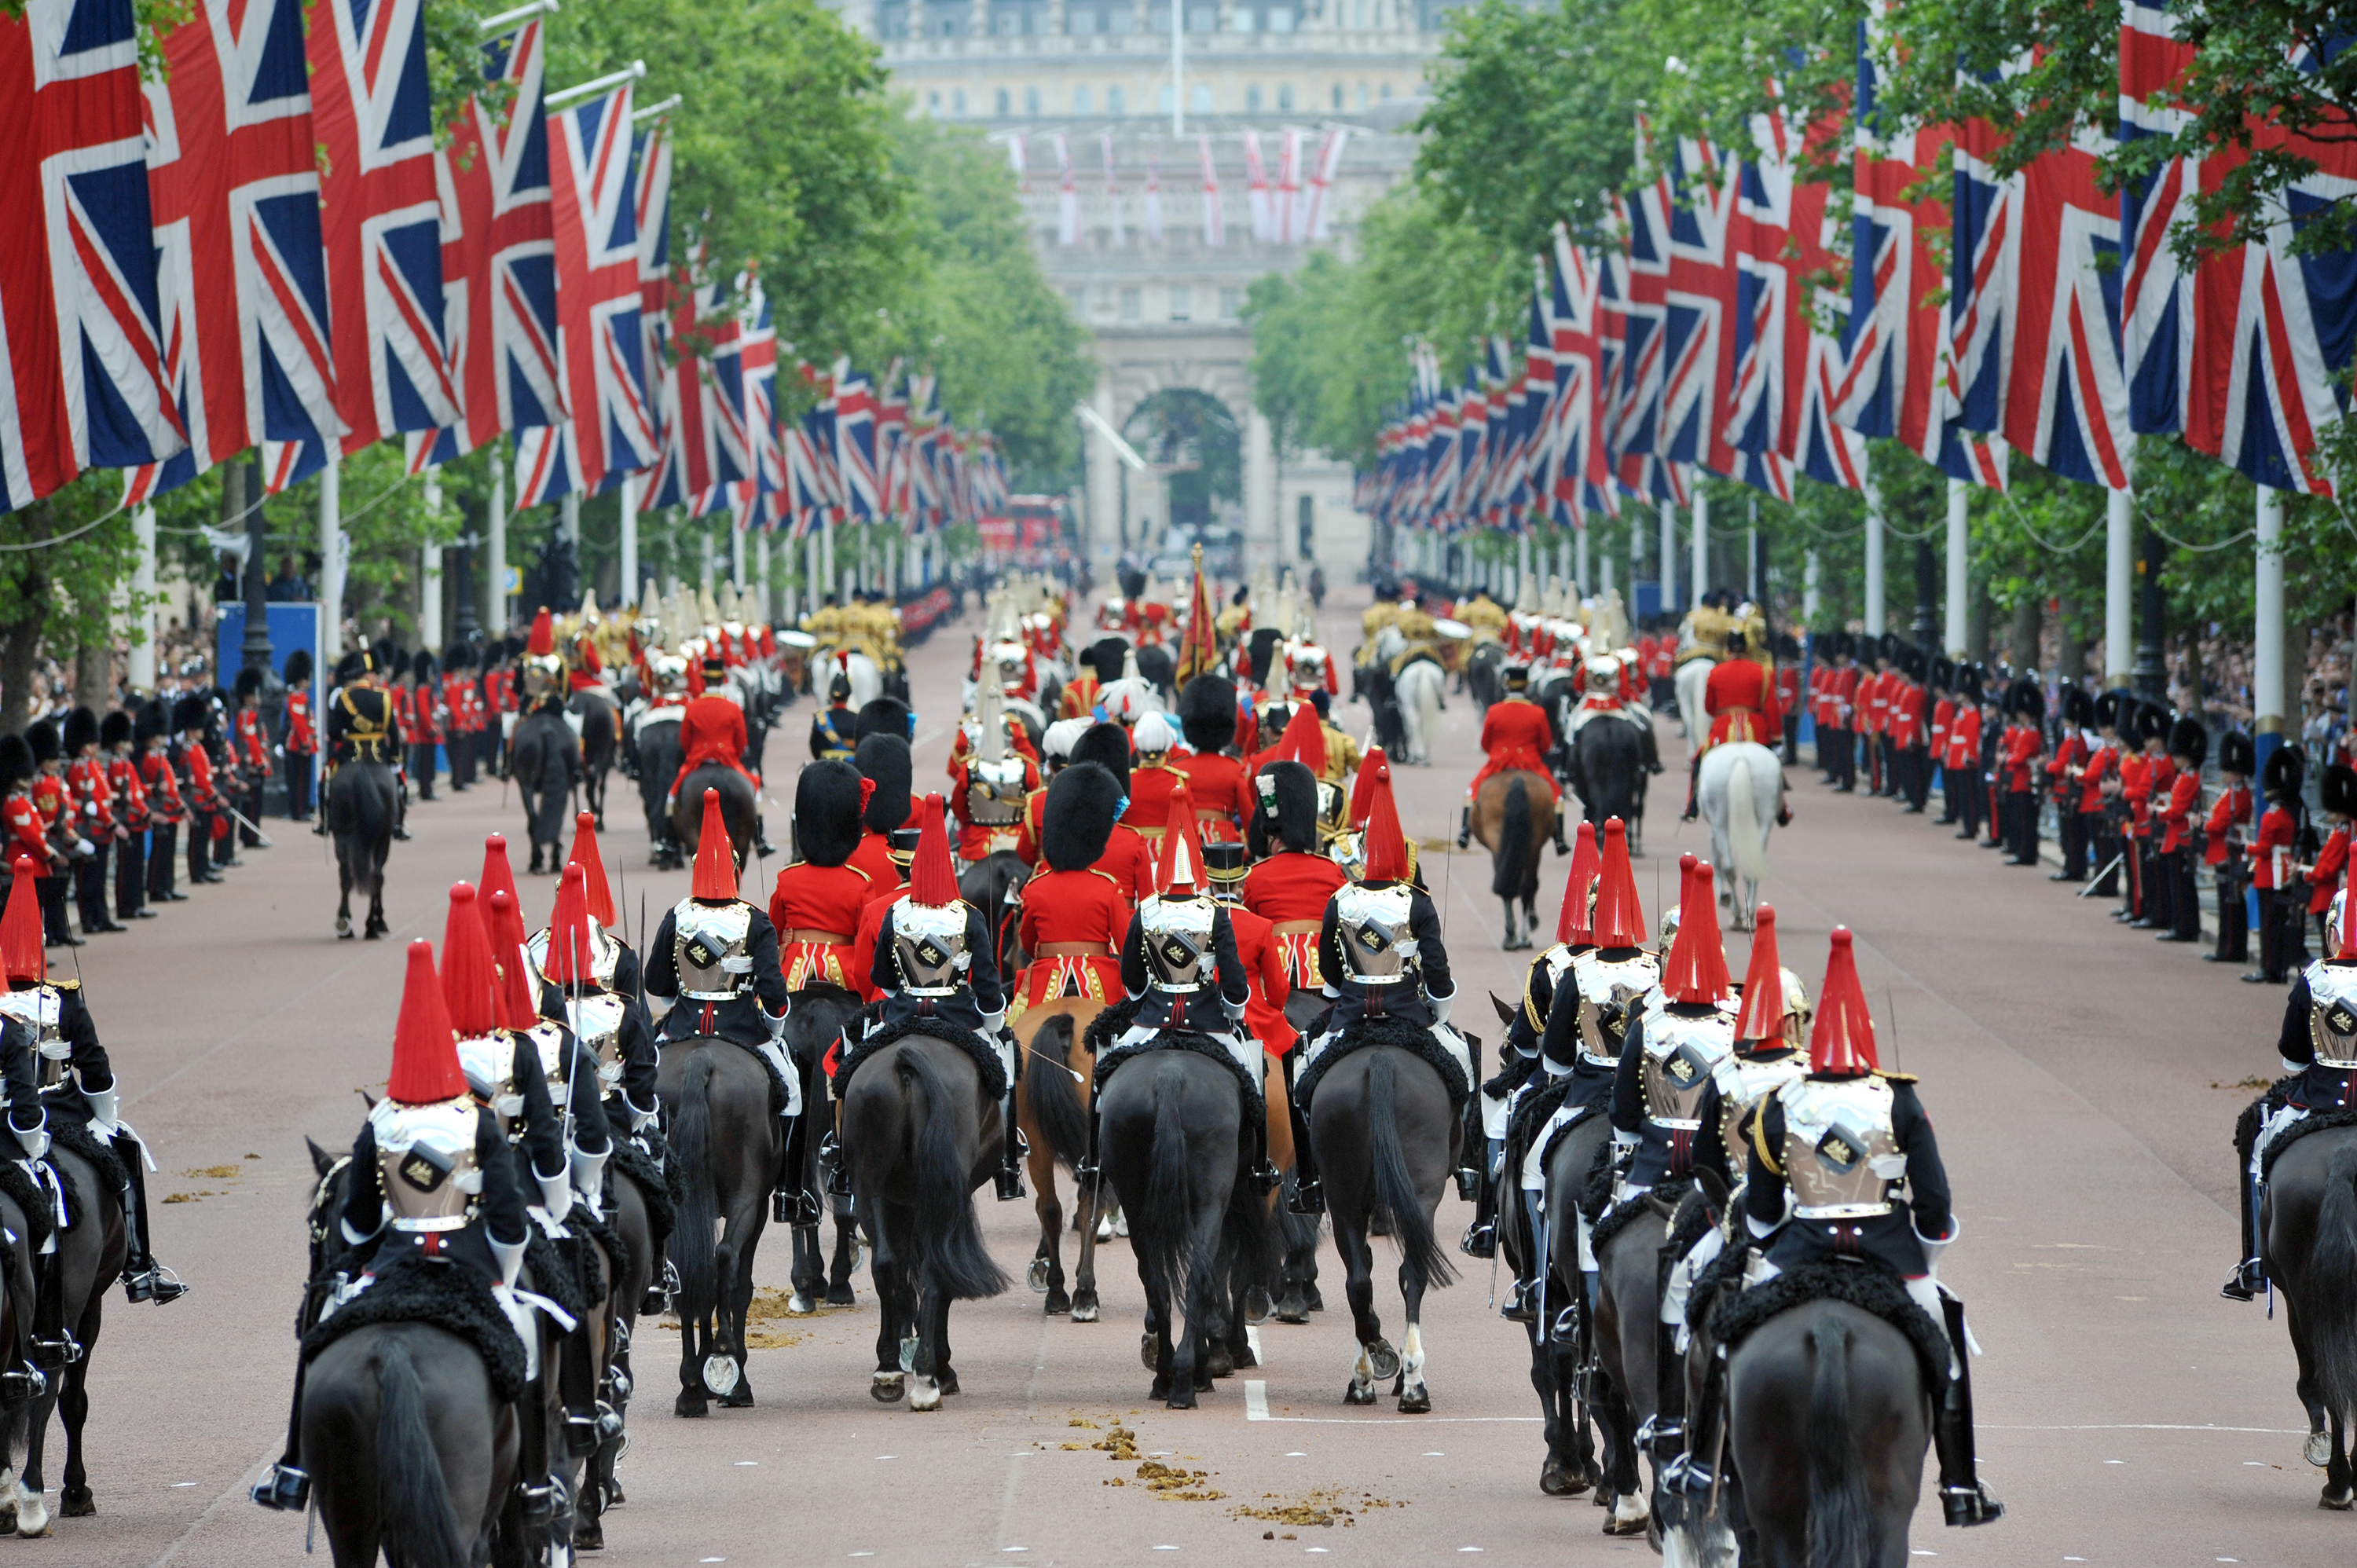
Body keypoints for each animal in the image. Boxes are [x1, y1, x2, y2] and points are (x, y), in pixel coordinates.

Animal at [328, 759, 396, 933]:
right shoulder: (383, 840)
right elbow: (380, 876)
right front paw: (380, 920)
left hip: (342, 837)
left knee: (346, 875)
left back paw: (345, 923)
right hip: (381, 841)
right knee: (375, 876)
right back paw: (371, 924)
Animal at [1471, 768, 1565, 947]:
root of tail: (1516, 778)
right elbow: (1532, 885)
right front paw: (1532, 922)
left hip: (1502, 845)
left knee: (1511, 886)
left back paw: (1512, 935)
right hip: (1532, 848)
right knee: (1526, 886)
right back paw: (1522, 935)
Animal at [1706, 735, 1772, 929]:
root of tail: (1742, 759)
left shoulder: (1714, 828)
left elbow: (1716, 859)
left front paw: (1723, 896)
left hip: (1720, 821)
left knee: (1729, 867)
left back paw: (1736, 914)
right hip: (1765, 820)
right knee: (1752, 868)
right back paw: (1749, 916)